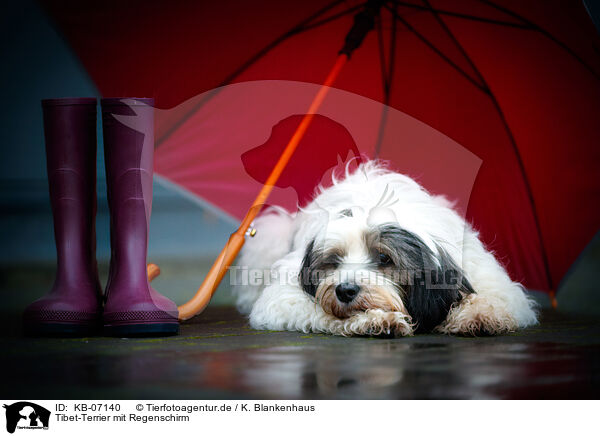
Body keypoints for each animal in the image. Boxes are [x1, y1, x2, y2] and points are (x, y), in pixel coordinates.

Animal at [231, 161, 540, 338]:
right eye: (333, 260)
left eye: (384, 258)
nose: (345, 291)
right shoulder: (281, 299)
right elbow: (312, 309)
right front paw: (374, 320)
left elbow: (499, 299)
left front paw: (478, 314)